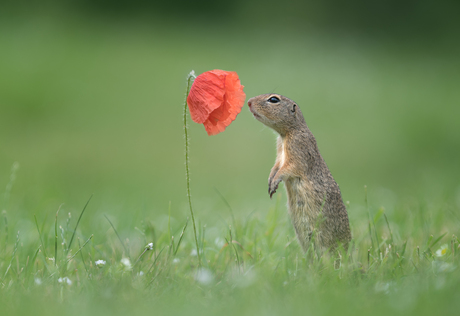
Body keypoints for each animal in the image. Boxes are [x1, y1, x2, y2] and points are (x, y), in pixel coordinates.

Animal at [248, 93, 352, 252]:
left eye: (273, 99)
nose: (248, 102)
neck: (287, 134)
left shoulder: (298, 149)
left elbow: (289, 168)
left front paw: (275, 182)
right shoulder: (279, 154)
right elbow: (276, 166)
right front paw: (270, 180)